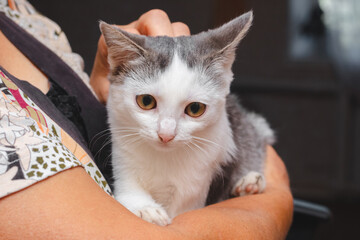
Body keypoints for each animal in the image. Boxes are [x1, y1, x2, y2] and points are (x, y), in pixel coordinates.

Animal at [100, 10, 274, 225]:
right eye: (146, 101)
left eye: (195, 108)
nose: (166, 135)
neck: (164, 159)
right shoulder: (123, 155)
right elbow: (128, 193)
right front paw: (146, 209)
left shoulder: (202, 175)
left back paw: (249, 183)